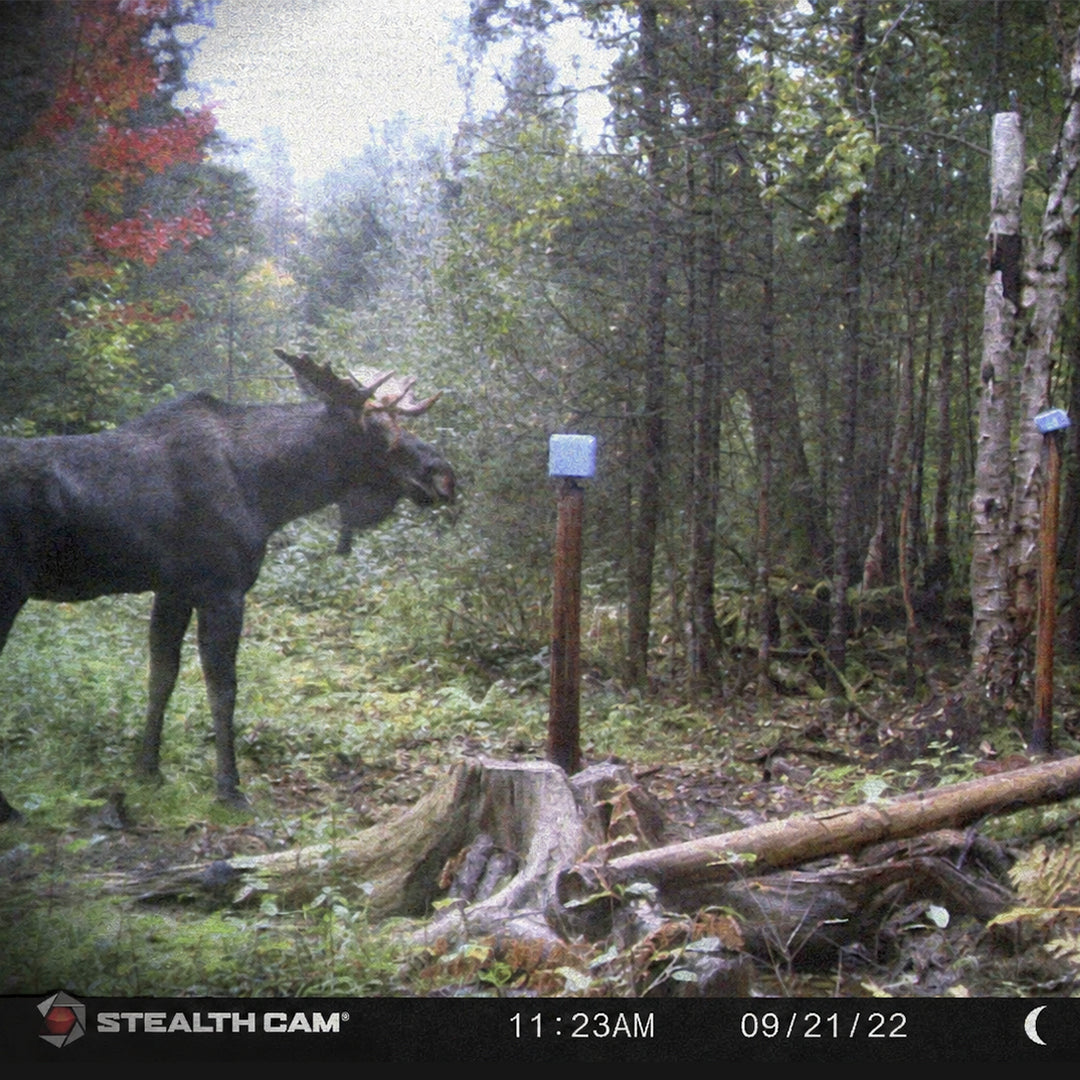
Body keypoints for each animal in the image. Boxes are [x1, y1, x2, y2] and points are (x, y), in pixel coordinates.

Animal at [0, 350, 455, 820]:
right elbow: (223, 688)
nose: (444, 474)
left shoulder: (174, 588)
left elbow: (161, 676)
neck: (269, 494)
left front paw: (148, 770)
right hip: (9, 588)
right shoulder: (222, 587)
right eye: (379, 433)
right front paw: (229, 787)